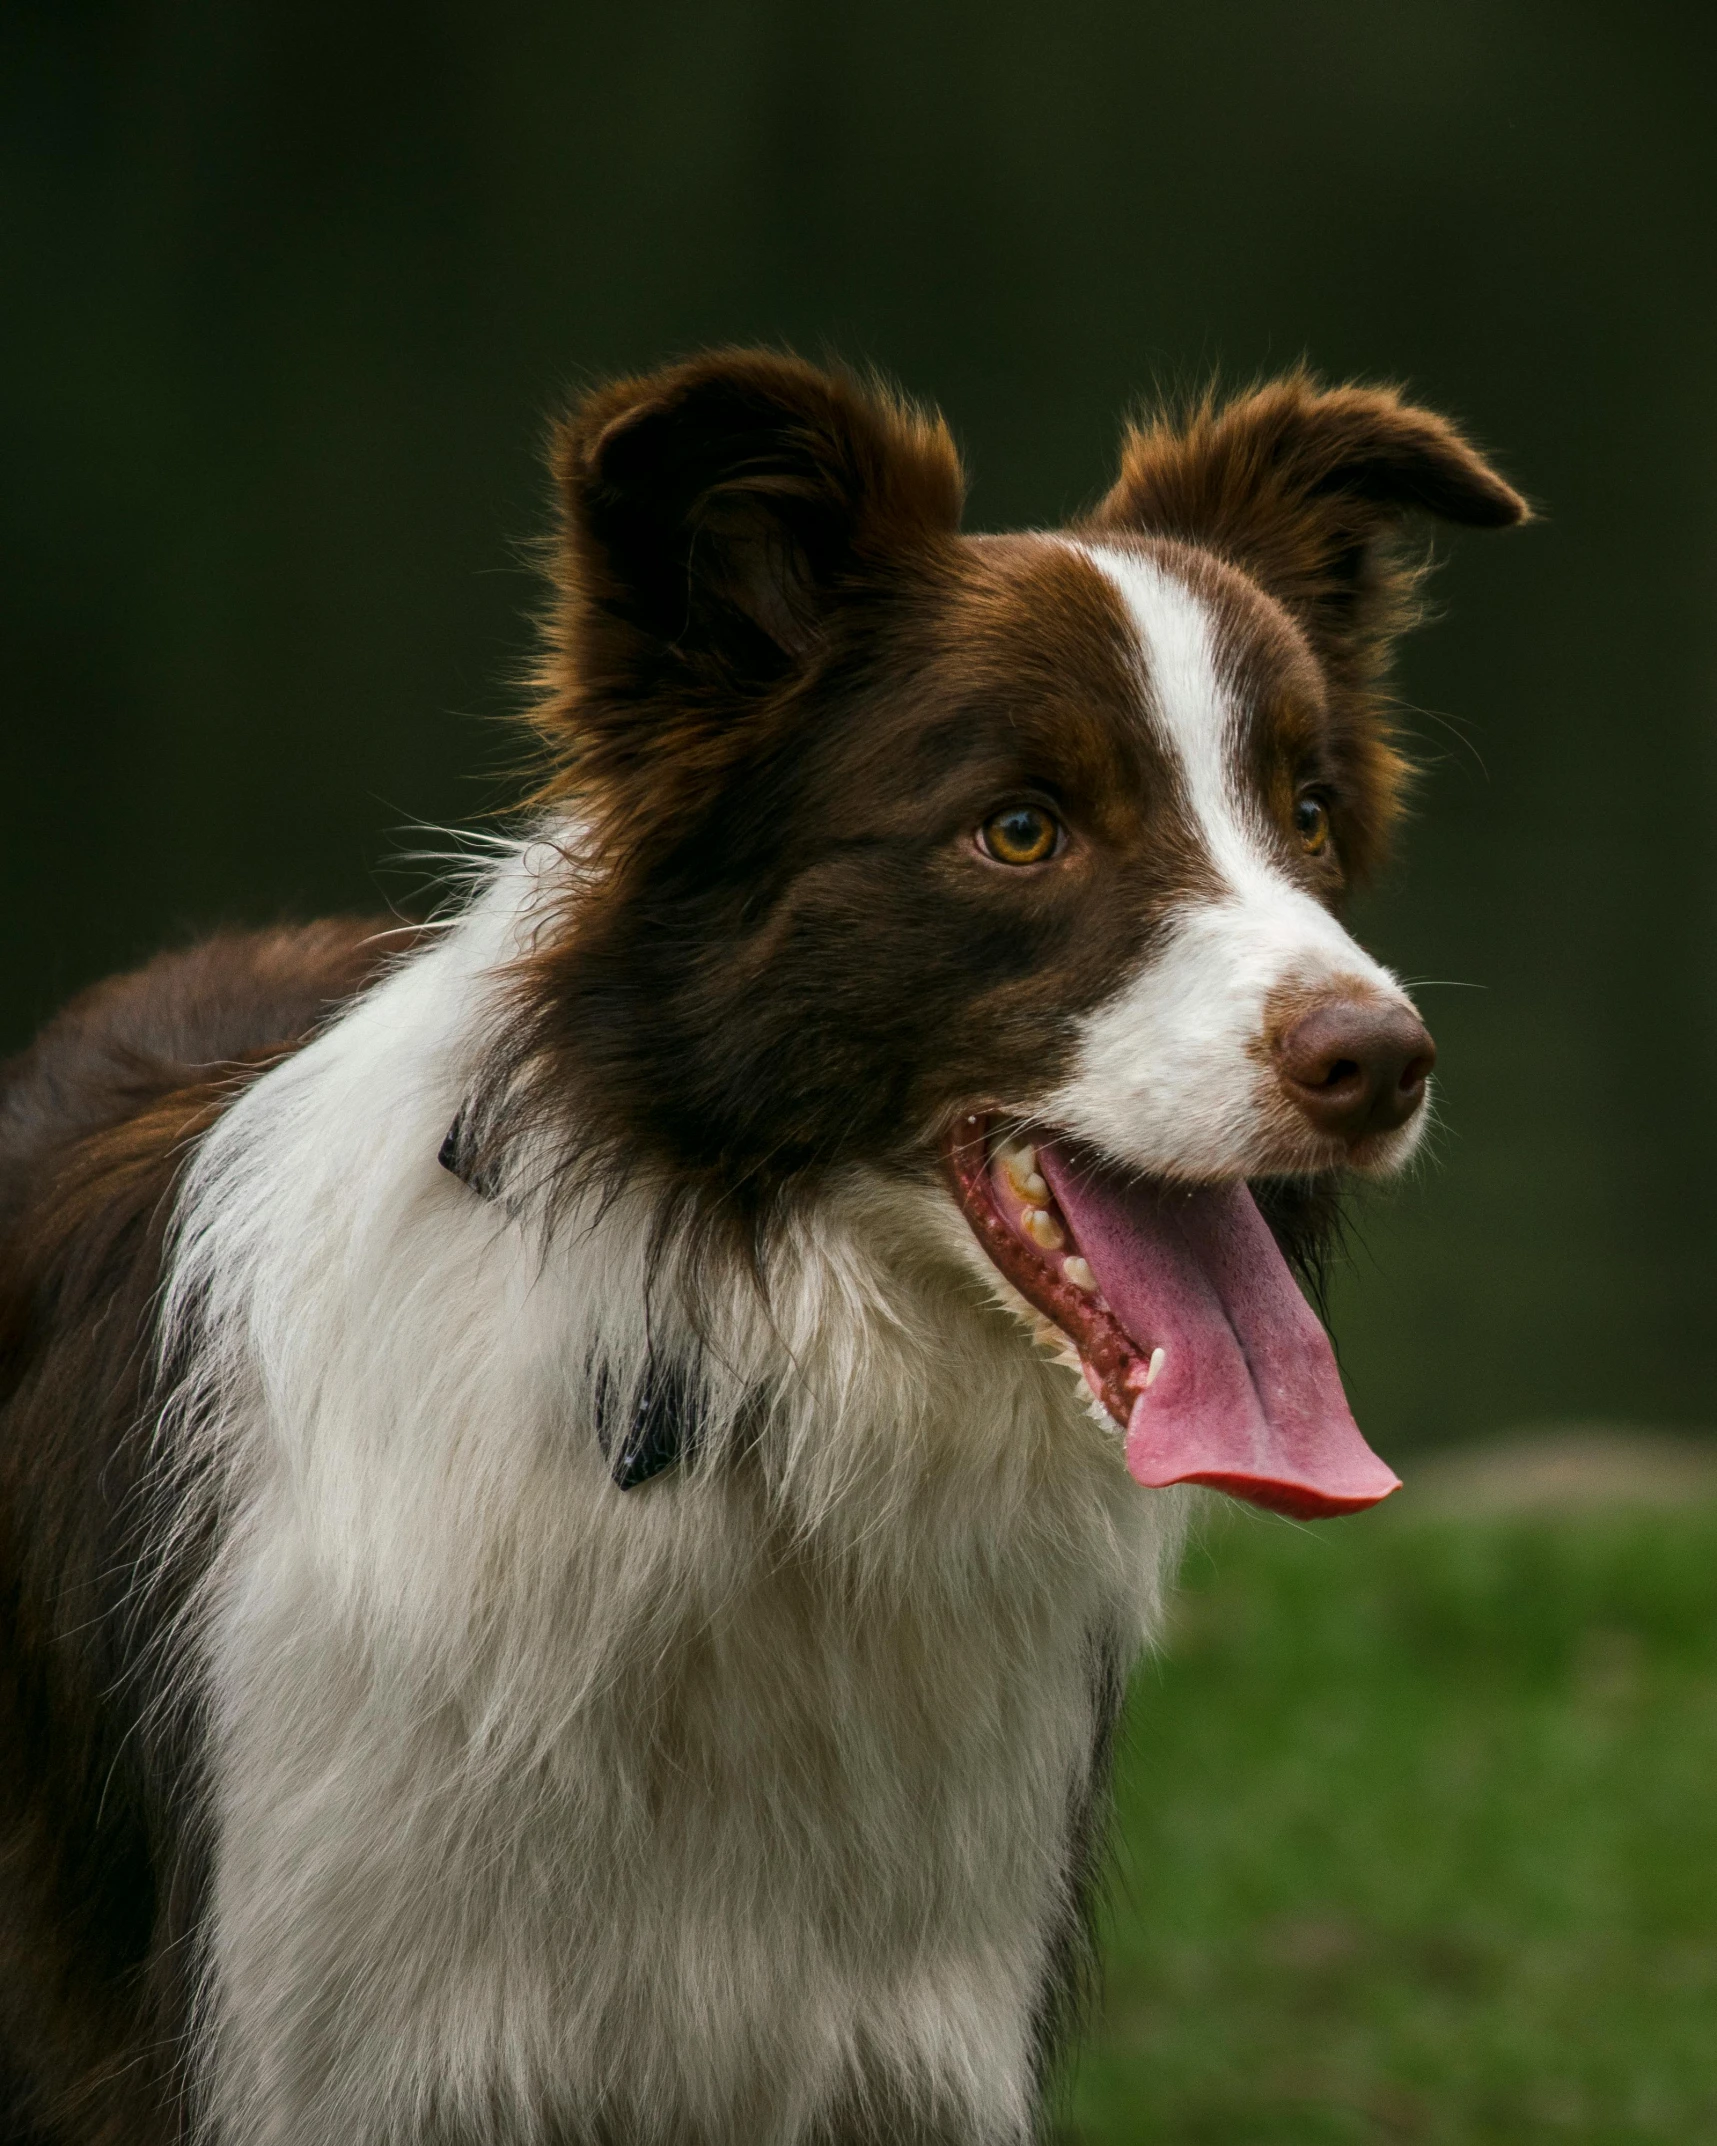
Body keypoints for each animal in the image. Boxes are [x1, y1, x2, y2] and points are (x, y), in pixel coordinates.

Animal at [0, 356, 1528, 2146]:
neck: (756, 1404)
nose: (1383, 1060)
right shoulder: (320, 2047)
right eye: (1021, 829)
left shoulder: (911, 2048)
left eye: (1306, 811)